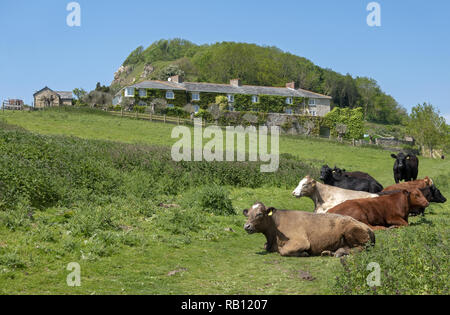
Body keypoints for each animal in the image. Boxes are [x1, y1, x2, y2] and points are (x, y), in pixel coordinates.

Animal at [244, 204, 374, 258]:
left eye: (259, 214)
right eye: (248, 214)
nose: (246, 226)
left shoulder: (301, 241)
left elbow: (283, 250)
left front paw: (304, 253)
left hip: (352, 231)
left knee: (361, 248)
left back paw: (339, 252)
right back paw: (330, 252)